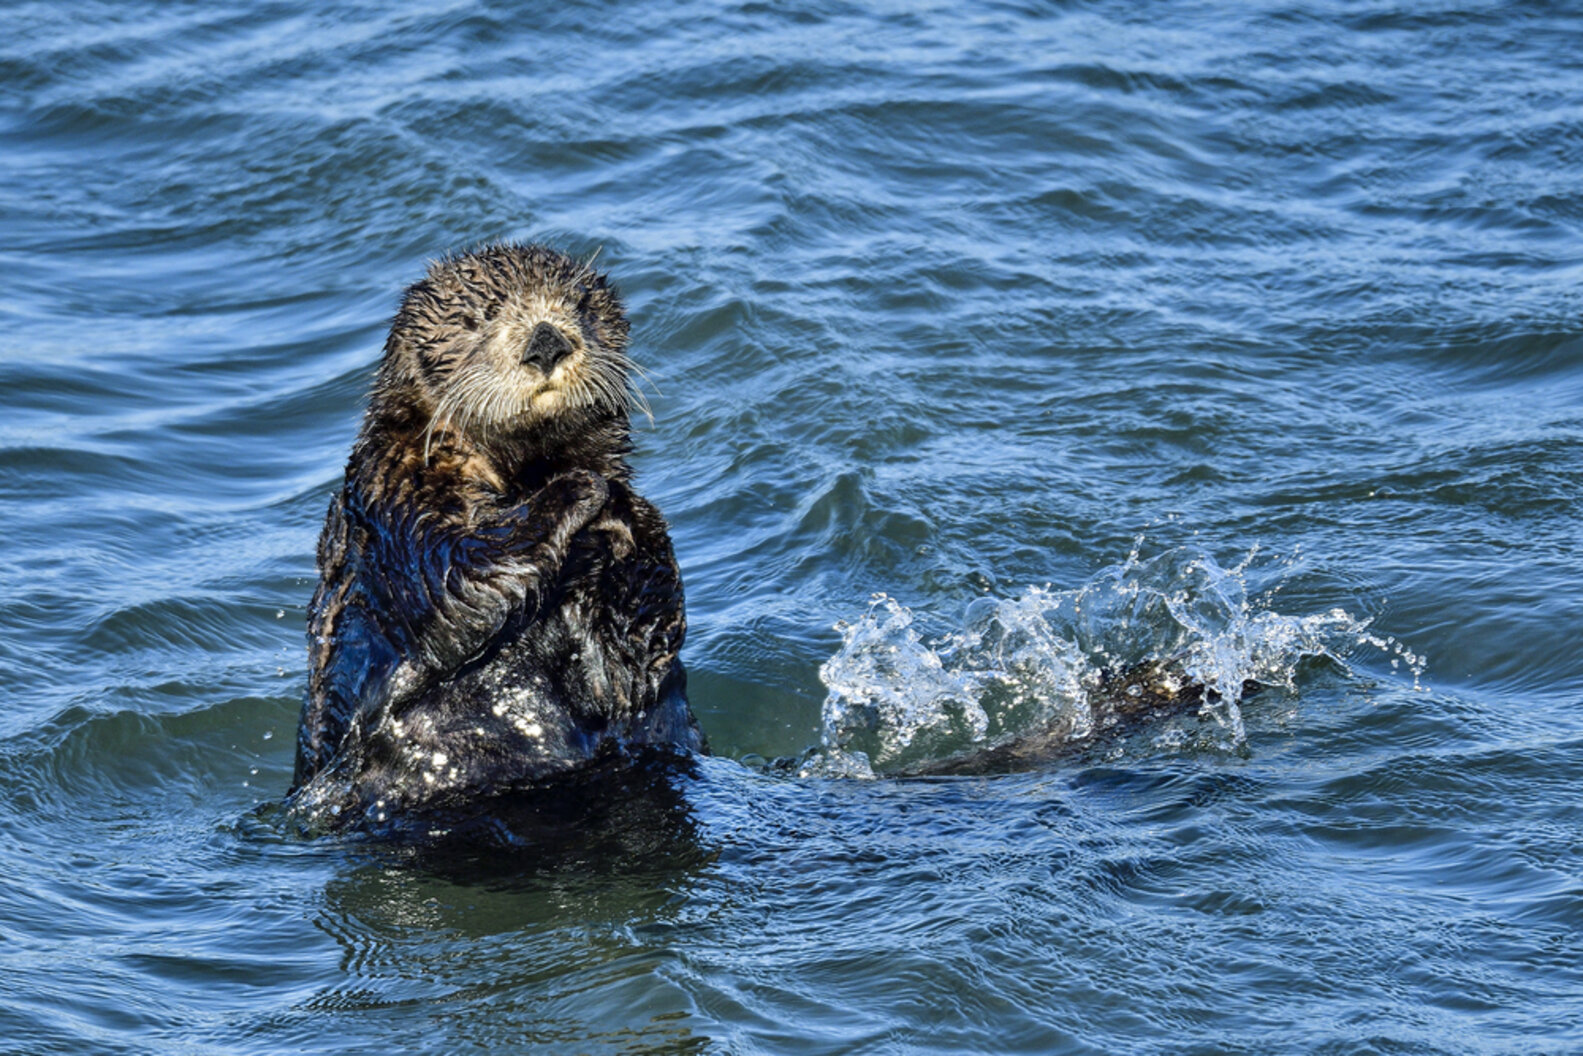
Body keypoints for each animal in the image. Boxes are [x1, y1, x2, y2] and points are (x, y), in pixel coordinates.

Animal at [288, 243, 703, 831]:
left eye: (580, 306)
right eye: (481, 317)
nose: (547, 341)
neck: (520, 472)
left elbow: (639, 656)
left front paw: (627, 516)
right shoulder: (397, 504)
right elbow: (458, 577)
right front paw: (583, 488)